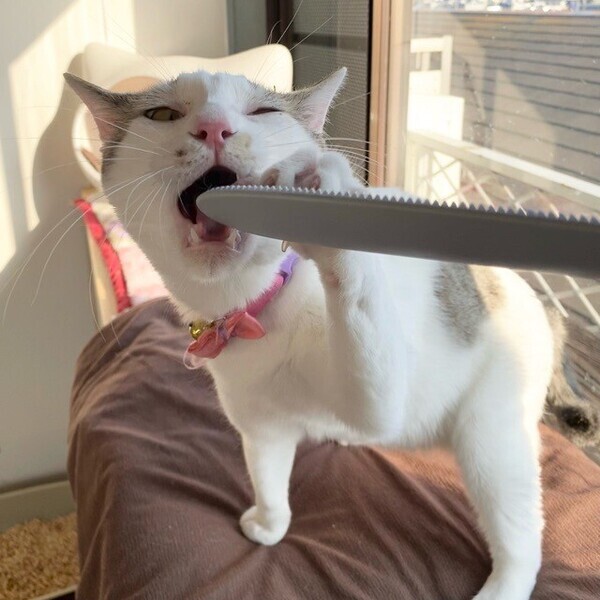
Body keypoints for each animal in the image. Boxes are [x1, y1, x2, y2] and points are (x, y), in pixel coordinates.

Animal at [65, 68, 598, 600]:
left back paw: (504, 583)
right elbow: (267, 477)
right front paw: (270, 524)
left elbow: (359, 294)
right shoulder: (261, 427)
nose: (214, 128)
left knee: (521, 538)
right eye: (162, 114)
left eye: (263, 111)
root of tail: (540, 304)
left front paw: (318, 185)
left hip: (489, 438)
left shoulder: (382, 398)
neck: (262, 306)